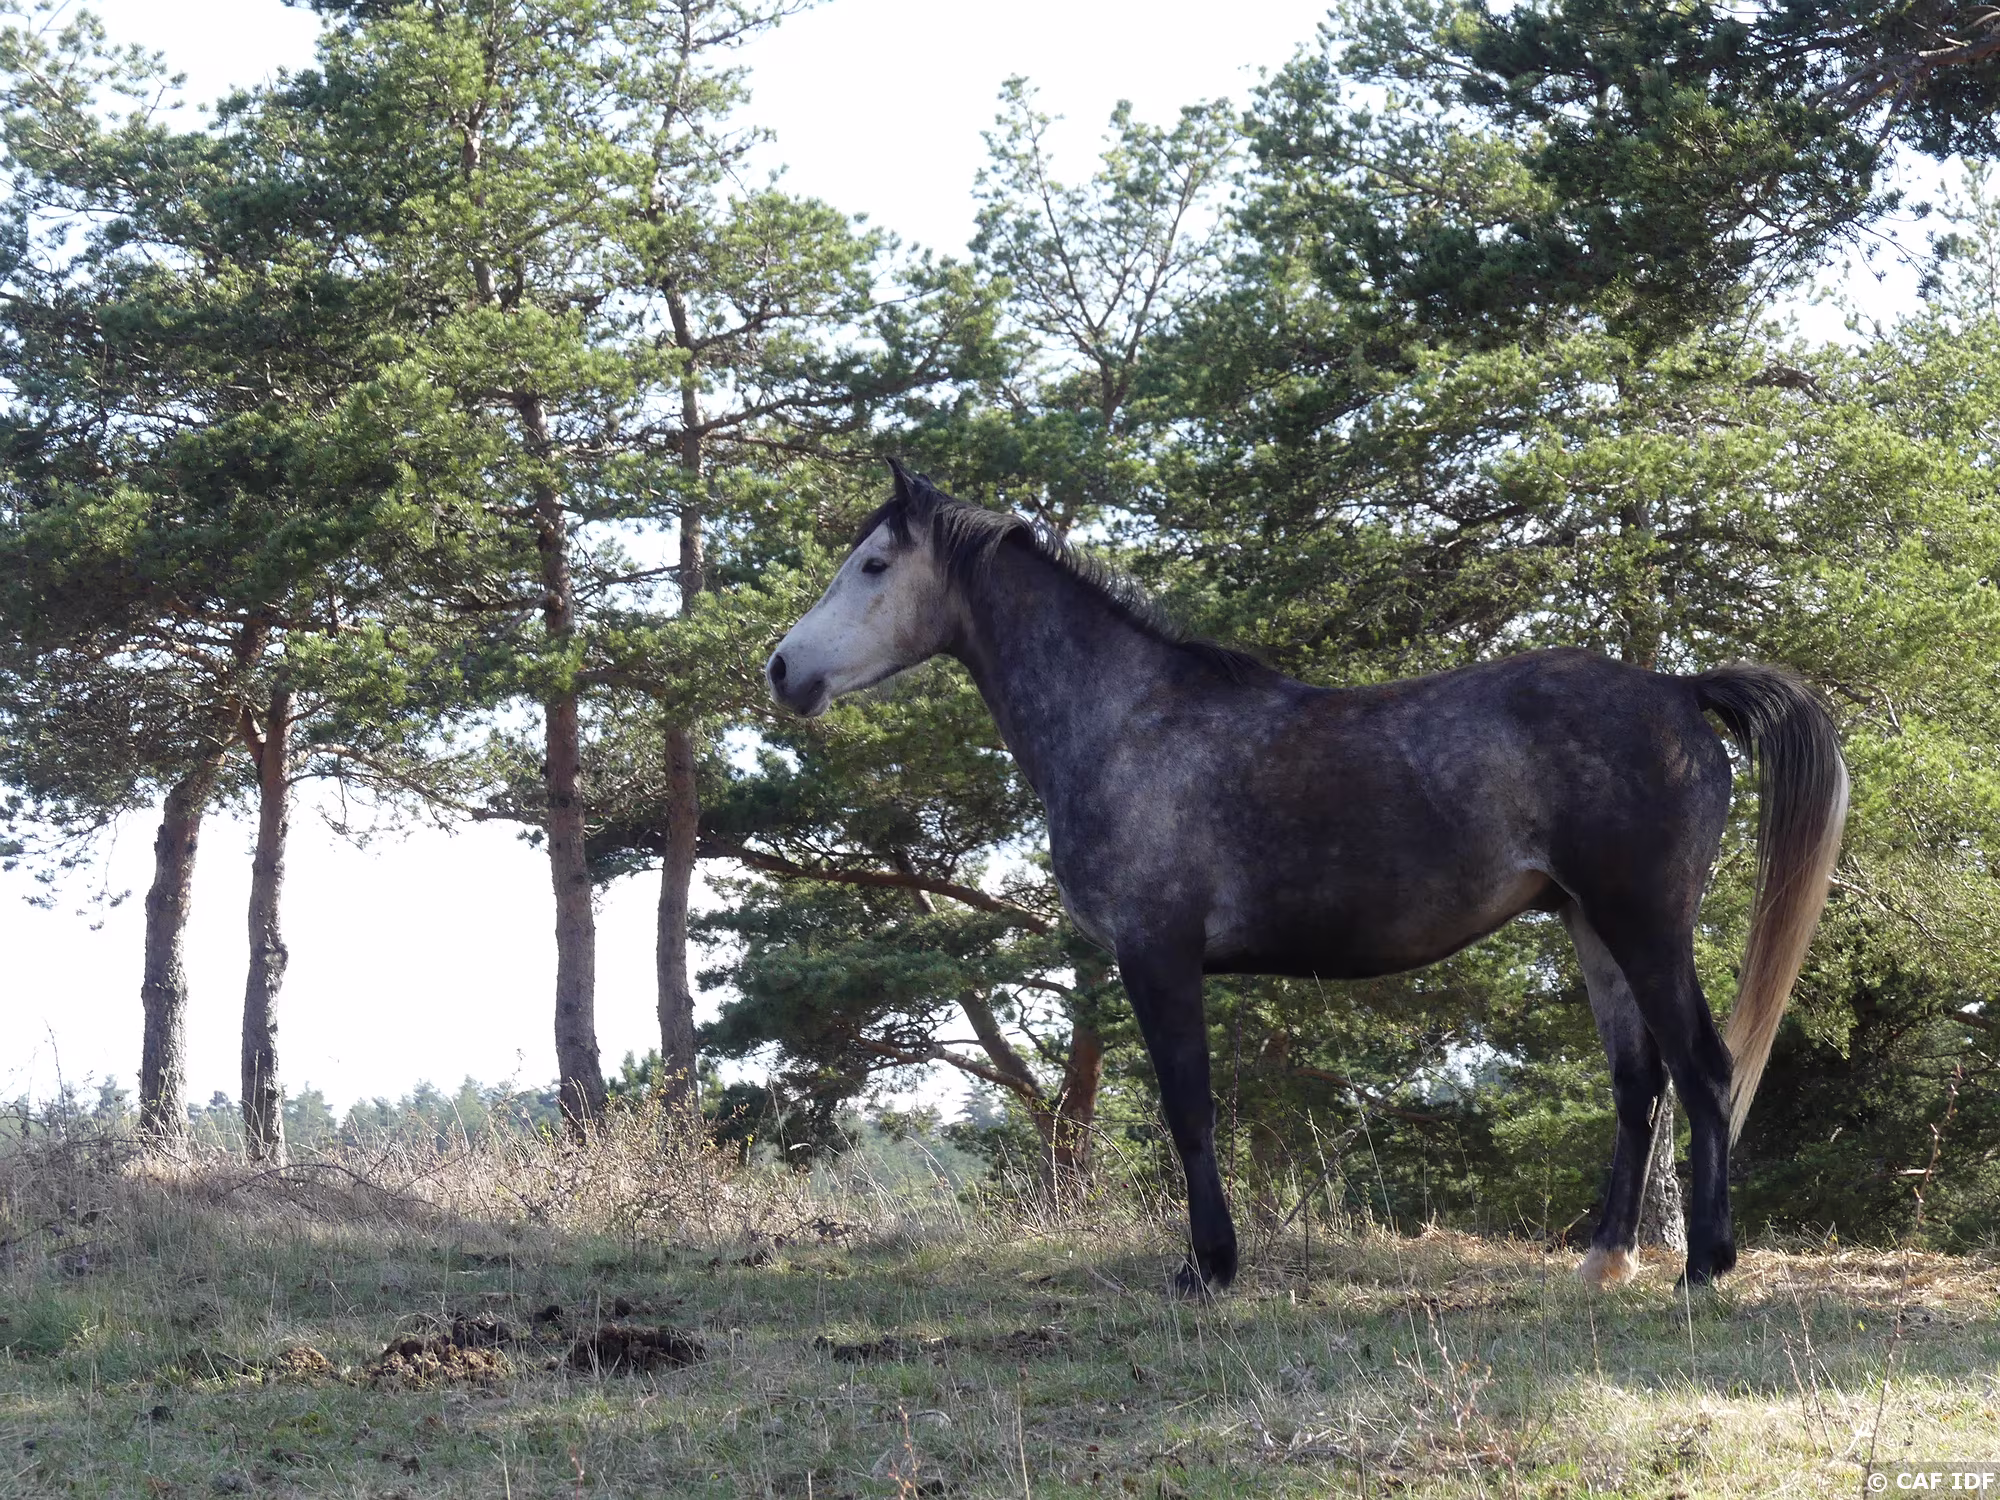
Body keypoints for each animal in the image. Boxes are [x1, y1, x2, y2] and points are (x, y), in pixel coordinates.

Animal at [765, 461, 1849, 1293]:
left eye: (873, 565)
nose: (781, 669)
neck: (1127, 720)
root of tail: (1676, 691)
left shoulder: (1156, 956)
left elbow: (1189, 1110)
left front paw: (1207, 1266)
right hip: (1590, 926)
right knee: (1636, 1086)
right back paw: (1603, 1261)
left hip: (1644, 922)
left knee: (1703, 1071)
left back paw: (1703, 1265)